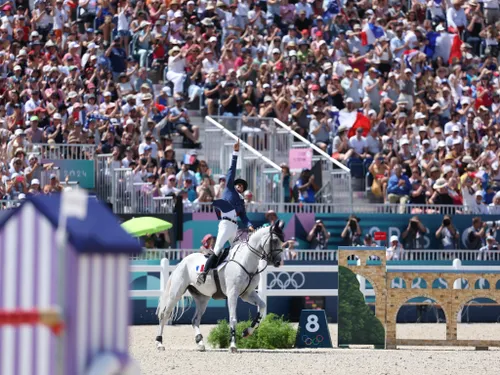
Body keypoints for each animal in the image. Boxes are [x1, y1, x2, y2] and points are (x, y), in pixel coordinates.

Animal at [154, 220, 284, 352]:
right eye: (274, 240)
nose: (278, 262)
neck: (246, 261)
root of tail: (182, 262)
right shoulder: (233, 294)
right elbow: (233, 319)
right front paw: (233, 346)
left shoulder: (247, 294)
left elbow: (262, 306)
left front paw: (247, 331)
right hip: (176, 293)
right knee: (165, 315)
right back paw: (159, 343)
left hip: (202, 298)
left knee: (195, 320)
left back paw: (200, 343)